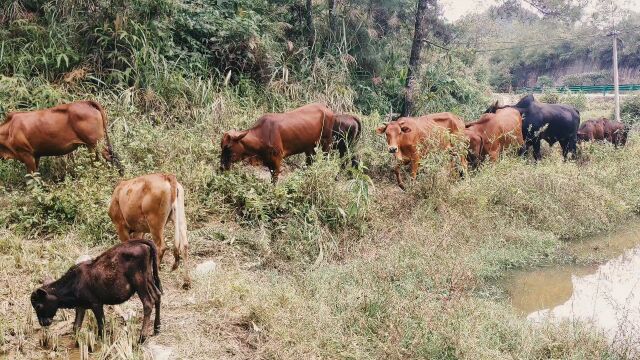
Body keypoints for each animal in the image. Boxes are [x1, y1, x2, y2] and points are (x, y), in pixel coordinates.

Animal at [31, 239, 161, 344]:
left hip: (139, 281)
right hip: (149, 278)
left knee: (148, 303)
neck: (73, 283)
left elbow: (101, 326)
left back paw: (142, 337)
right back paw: (157, 328)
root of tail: (140, 243)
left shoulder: (96, 304)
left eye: (38, 306)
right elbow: (76, 327)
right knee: (157, 295)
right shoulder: (81, 306)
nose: (42, 323)